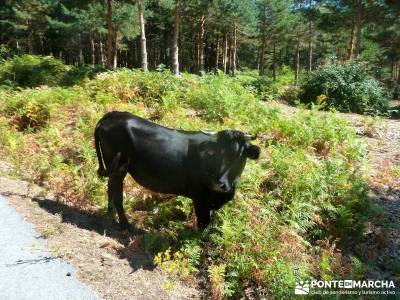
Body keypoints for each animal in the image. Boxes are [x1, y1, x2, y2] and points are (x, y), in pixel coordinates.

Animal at [95, 111, 260, 231]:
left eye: (240, 155)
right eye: (217, 154)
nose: (219, 183)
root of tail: (113, 114)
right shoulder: (199, 197)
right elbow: (203, 224)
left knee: (111, 188)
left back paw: (110, 216)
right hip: (118, 166)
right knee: (116, 192)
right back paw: (124, 224)